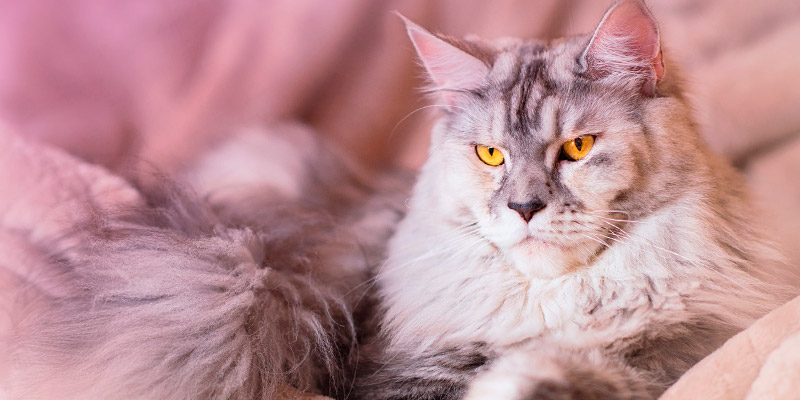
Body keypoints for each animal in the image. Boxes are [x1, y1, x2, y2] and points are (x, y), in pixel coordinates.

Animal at [354, 0, 792, 398]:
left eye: (578, 147)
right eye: (490, 154)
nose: (524, 208)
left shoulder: (682, 349)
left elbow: (590, 375)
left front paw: (525, 375)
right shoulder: (412, 373)